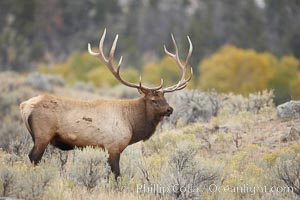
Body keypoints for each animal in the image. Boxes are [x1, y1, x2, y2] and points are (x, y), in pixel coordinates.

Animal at [19, 28, 192, 177]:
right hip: (43, 135)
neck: (131, 123)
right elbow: (117, 175)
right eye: (153, 100)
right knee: (33, 157)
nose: (170, 109)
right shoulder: (113, 147)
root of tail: (24, 106)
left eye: (165, 98)